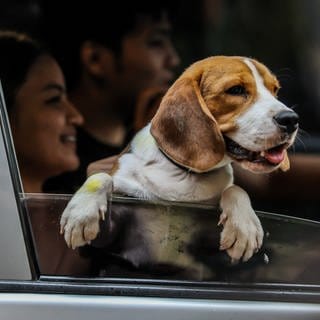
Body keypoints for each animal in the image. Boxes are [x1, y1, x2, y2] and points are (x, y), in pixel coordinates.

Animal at [60, 57, 300, 264]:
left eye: (275, 90)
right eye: (236, 90)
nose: (291, 119)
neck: (185, 172)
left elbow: (235, 189)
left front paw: (244, 226)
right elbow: (101, 177)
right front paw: (82, 213)